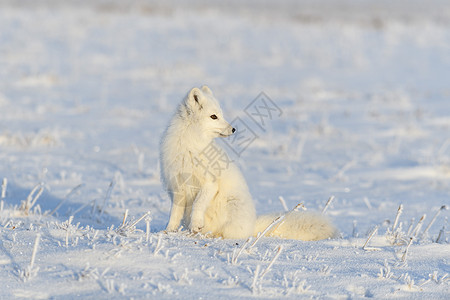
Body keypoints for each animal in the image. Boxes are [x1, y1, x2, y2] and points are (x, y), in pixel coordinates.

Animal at [159, 85, 338, 240]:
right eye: (213, 116)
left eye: (220, 114)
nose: (233, 129)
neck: (190, 146)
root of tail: (252, 226)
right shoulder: (178, 187)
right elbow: (174, 213)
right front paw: (168, 231)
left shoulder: (210, 182)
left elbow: (198, 203)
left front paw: (195, 224)